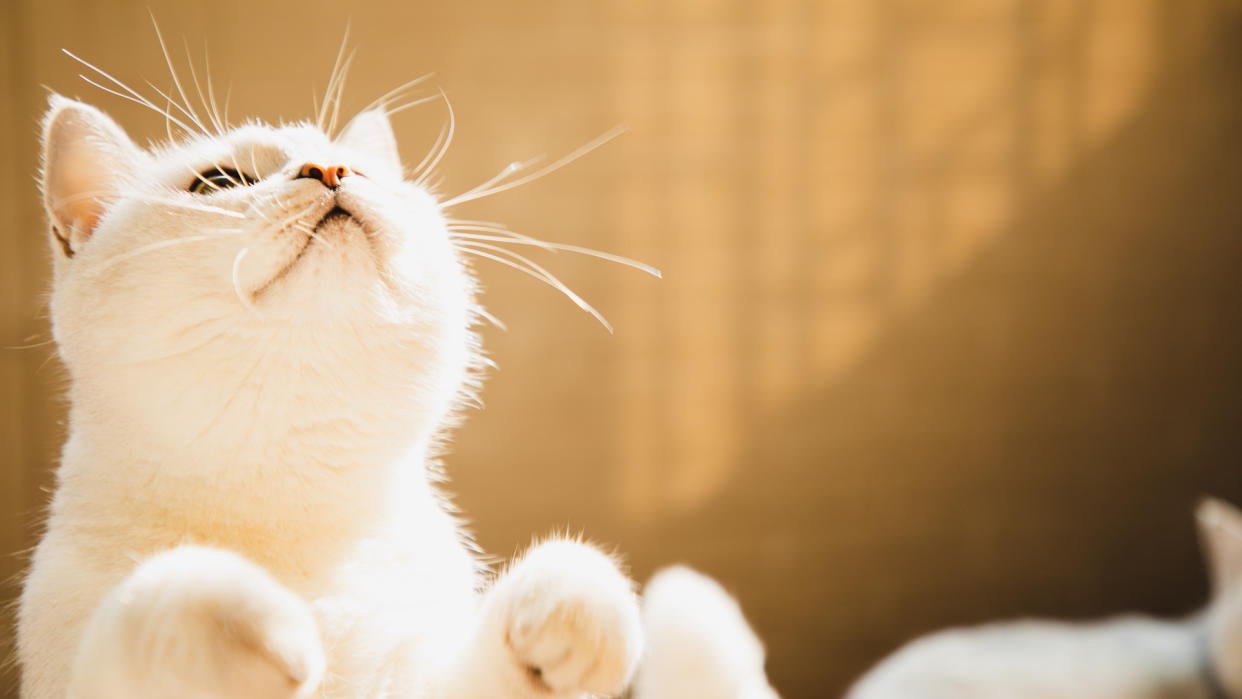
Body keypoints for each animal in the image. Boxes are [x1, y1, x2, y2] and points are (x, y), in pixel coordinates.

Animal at [14, 87, 655, 699]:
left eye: (364, 170)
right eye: (219, 182)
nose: (330, 168)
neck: (288, 495)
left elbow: (563, 577)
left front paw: (571, 609)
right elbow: (156, 604)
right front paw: (254, 620)